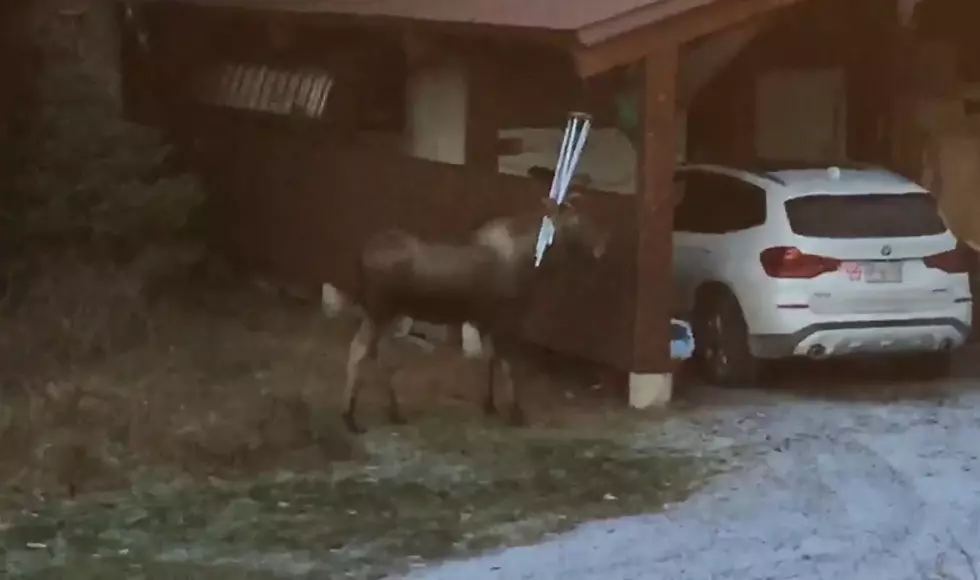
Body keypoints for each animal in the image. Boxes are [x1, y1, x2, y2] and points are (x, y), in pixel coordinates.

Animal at [342, 193, 604, 432]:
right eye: (576, 220)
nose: (602, 245)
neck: (531, 265)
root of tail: (361, 257)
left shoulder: (487, 321)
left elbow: (490, 358)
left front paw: (490, 404)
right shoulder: (506, 321)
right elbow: (507, 366)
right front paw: (515, 412)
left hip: (389, 314)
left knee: (381, 356)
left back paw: (392, 412)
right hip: (379, 312)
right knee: (358, 351)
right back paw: (350, 416)